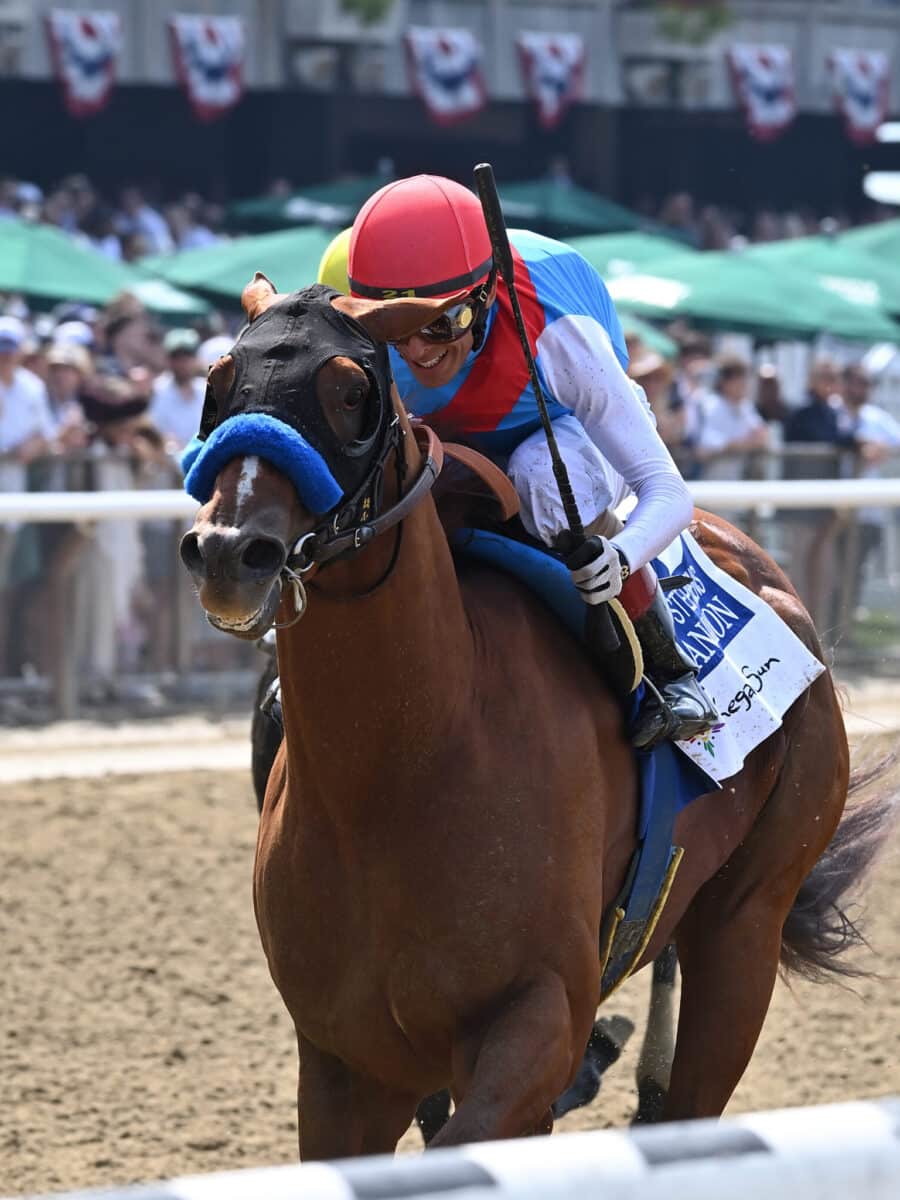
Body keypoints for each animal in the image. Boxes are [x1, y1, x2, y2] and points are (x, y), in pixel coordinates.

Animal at [183, 276, 897, 1156]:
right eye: (218, 381)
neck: (401, 768)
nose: (229, 550)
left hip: (747, 917)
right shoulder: (347, 1064)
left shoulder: (536, 1019)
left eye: (350, 392)